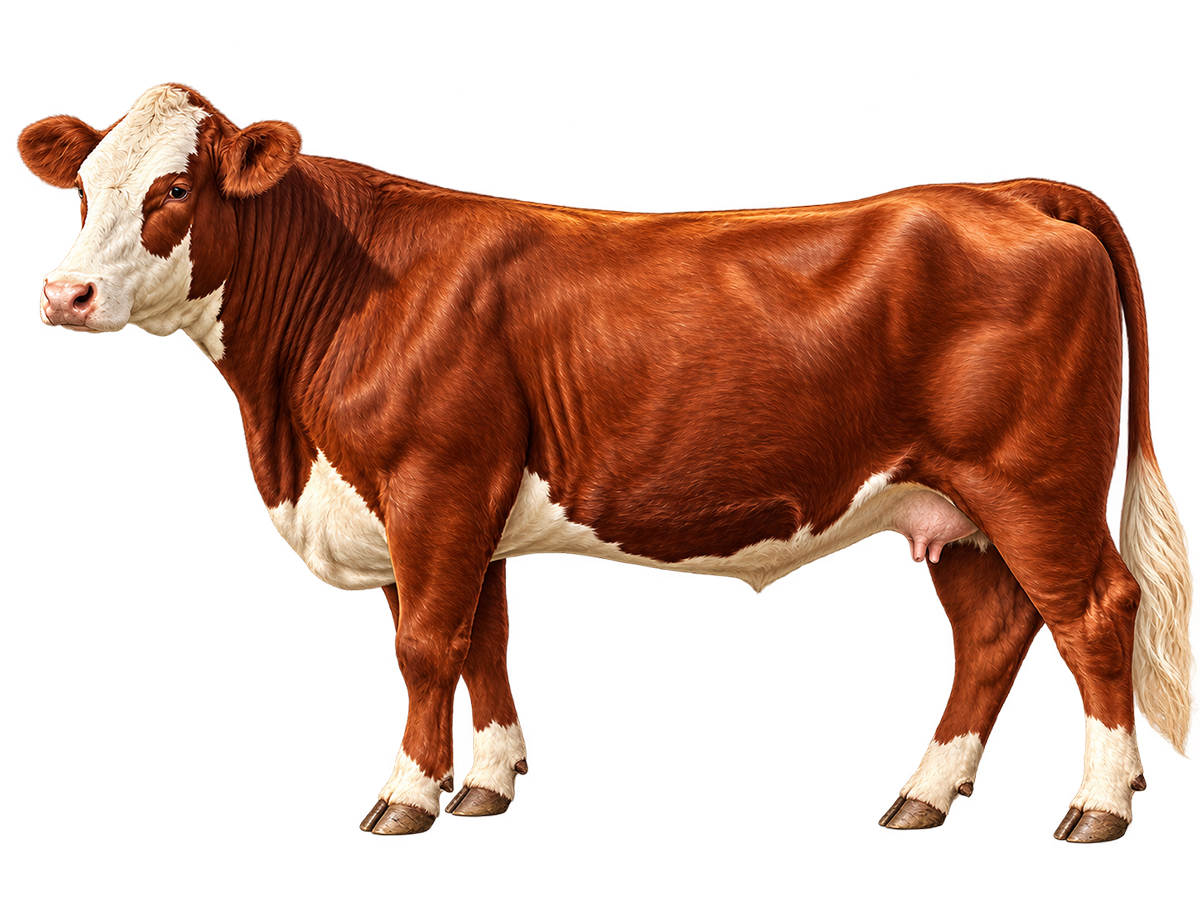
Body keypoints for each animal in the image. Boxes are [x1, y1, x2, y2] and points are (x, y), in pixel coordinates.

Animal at [16, 81, 1198, 846]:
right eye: (83, 185)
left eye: (174, 191)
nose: (63, 295)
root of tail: (1012, 192)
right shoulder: (476, 501)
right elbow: (485, 644)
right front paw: (490, 786)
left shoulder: (434, 479)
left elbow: (428, 643)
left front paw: (404, 798)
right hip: (948, 504)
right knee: (993, 631)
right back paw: (920, 796)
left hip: (1031, 482)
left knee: (1094, 616)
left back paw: (1097, 811)